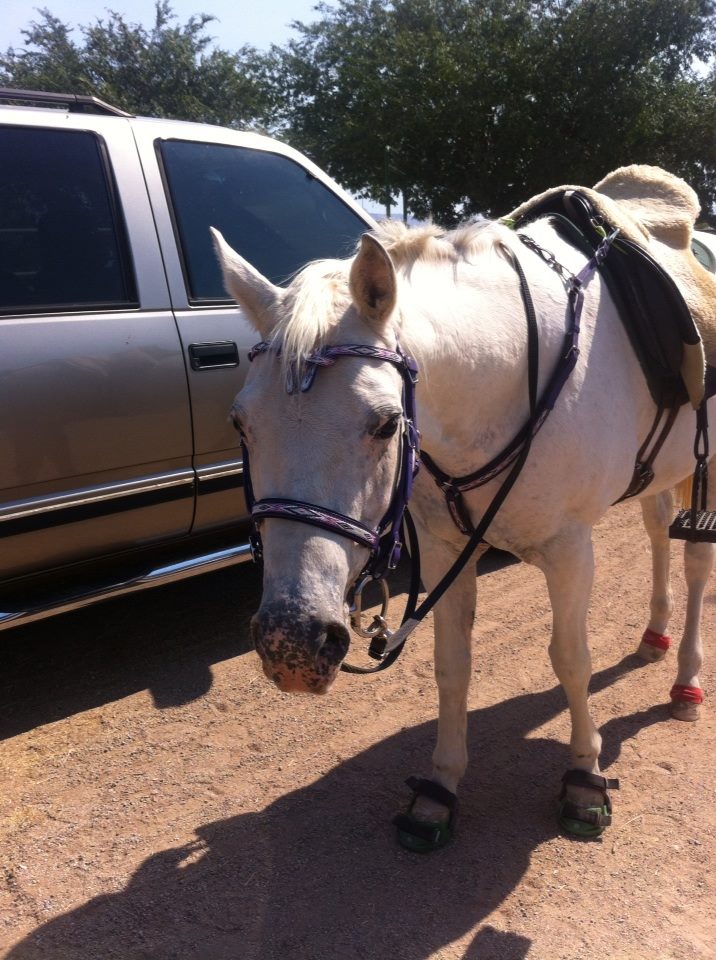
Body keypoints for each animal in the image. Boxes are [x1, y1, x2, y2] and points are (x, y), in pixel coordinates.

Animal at [211, 211, 714, 851]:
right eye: (239, 422)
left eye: (386, 423)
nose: (293, 641)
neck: (508, 373)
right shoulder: (448, 551)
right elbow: (452, 667)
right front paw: (440, 788)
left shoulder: (571, 551)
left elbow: (571, 659)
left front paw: (584, 778)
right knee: (656, 532)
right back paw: (654, 635)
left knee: (696, 565)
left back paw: (686, 681)